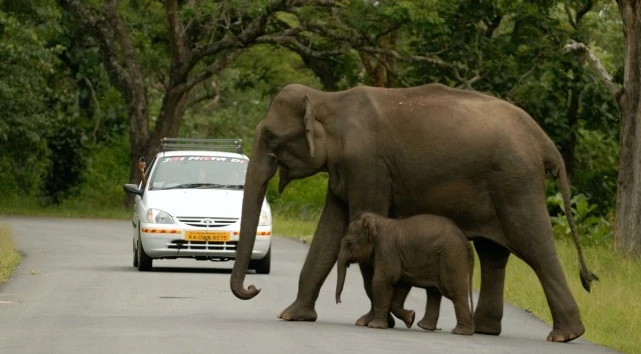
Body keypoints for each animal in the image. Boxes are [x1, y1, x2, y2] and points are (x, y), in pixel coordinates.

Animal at [332, 213, 472, 334]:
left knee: (455, 292)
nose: (339, 301)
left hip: (452, 257)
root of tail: (466, 241)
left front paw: (375, 326)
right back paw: (425, 326)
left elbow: (381, 281)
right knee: (434, 291)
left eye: (349, 243)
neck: (378, 221)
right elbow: (402, 284)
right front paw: (411, 317)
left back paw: (460, 332)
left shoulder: (387, 249)